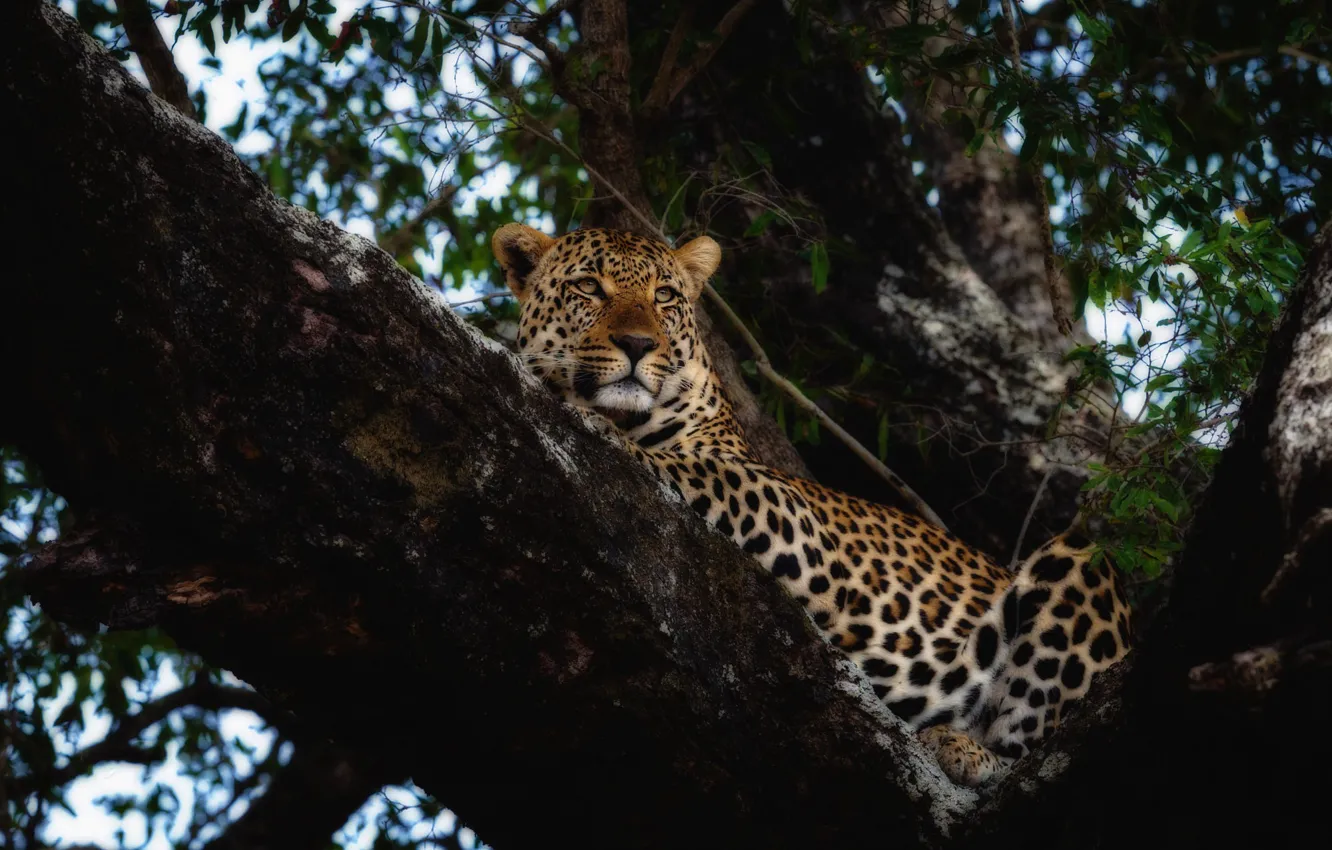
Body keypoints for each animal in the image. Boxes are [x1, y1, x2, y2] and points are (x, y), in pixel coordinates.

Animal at [490, 223, 1133, 786]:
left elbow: (689, 465)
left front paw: (599, 427)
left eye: (664, 297)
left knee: (1032, 753)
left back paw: (963, 748)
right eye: (587, 288)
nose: (637, 344)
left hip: (1084, 563)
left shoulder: (783, 509)